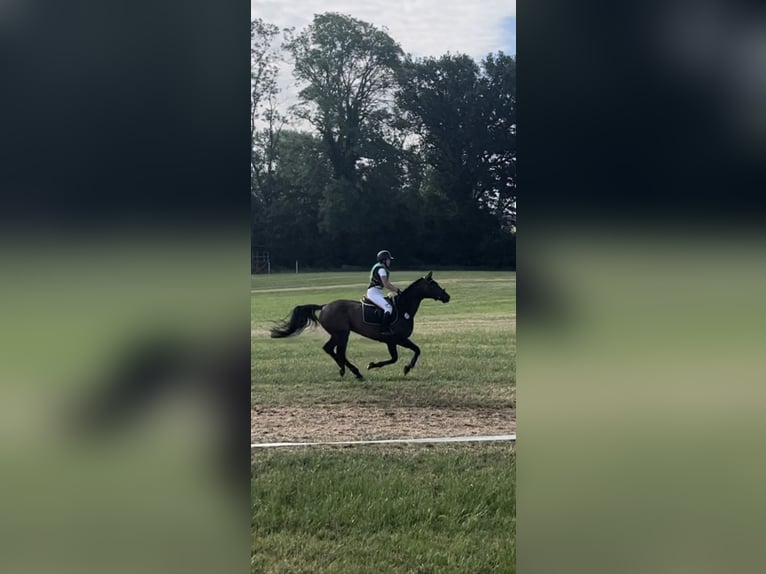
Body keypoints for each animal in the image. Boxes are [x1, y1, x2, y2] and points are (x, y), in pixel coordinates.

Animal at [270, 272, 450, 380]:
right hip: (342, 333)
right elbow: (411, 352)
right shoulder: (396, 339)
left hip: (339, 334)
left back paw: (345, 370)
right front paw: (406, 367)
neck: (403, 307)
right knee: (338, 351)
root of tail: (325, 306)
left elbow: (401, 355)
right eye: (433, 285)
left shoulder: (392, 341)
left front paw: (379, 365)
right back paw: (354, 371)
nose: (447, 297)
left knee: (331, 349)